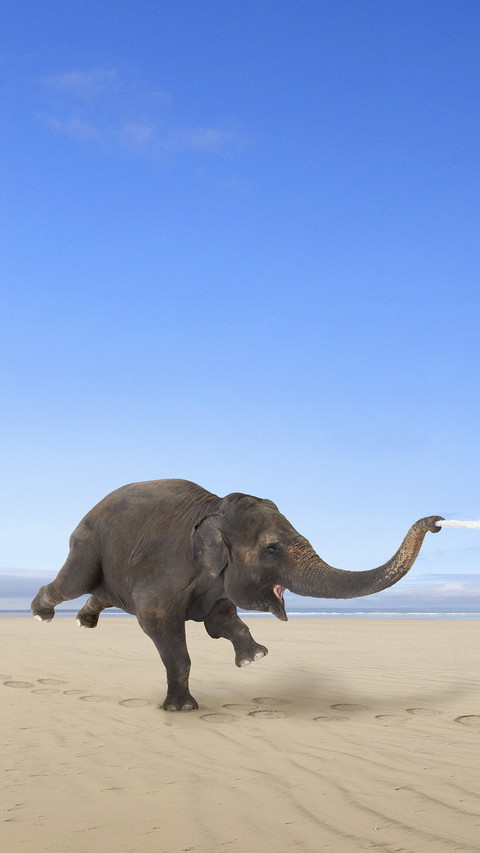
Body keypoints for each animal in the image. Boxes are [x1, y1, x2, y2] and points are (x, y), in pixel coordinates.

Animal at [31, 479, 443, 711]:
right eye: (271, 549)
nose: (438, 522)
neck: (213, 508)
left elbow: (220, 620)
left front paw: (254, 659)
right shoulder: (166, 570)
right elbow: (159, 624)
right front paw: (181, 709)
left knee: (104, 594)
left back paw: (84, 621)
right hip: (87, 546)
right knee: (72, 583)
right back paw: (40, 612)